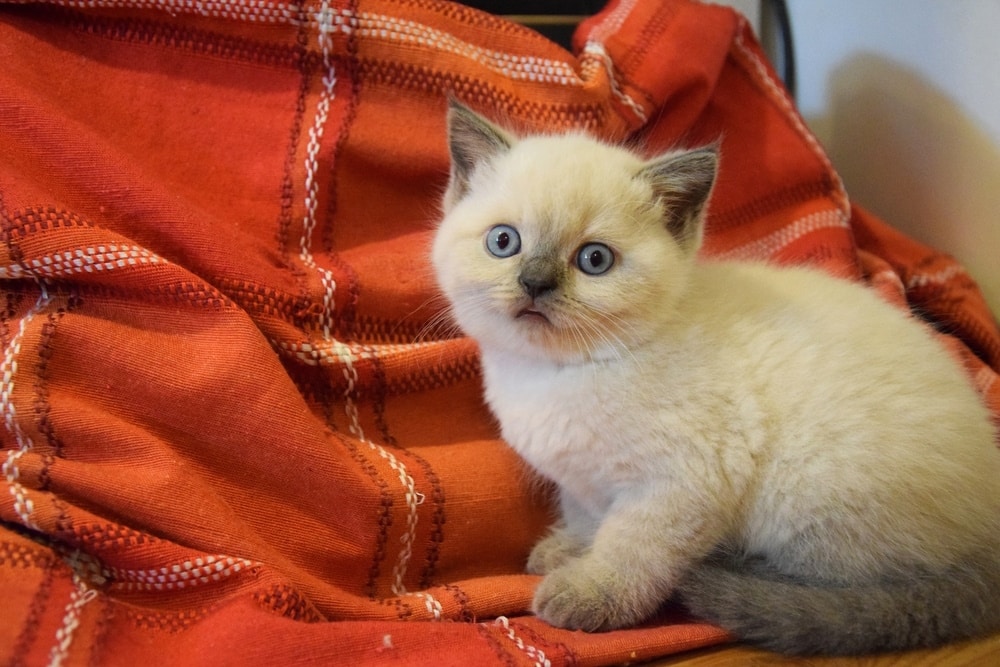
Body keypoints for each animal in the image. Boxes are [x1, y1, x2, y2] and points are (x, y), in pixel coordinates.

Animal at [430, 102, 1000, 656]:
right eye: (504, 242)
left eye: (594, 260)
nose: (535, 282)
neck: (556, 374)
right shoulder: (581, 478)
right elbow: (589, 516)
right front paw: (571, 549)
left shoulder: (681, 482)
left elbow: (630, 547)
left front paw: (589, 592)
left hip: (806, 497)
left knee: (855, 588)